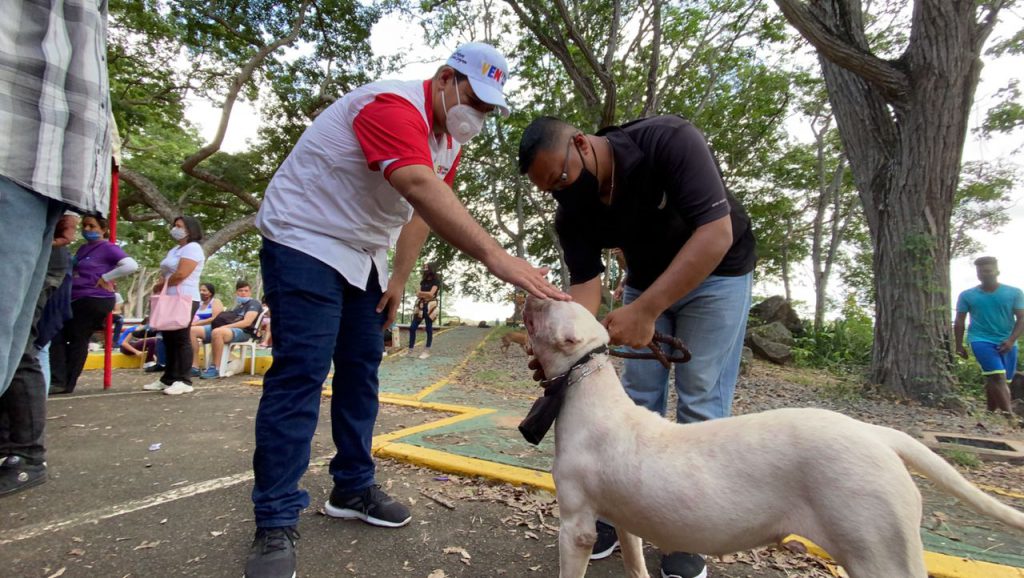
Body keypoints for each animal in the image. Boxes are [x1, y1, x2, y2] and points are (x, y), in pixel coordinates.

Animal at [524, 297, 1024, 578]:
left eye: (547, 306)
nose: (532, 288)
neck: (586, 382)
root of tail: (877, 434)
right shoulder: (624, 517)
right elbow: (635, 561)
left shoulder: (576, 526)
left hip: (880, 546)